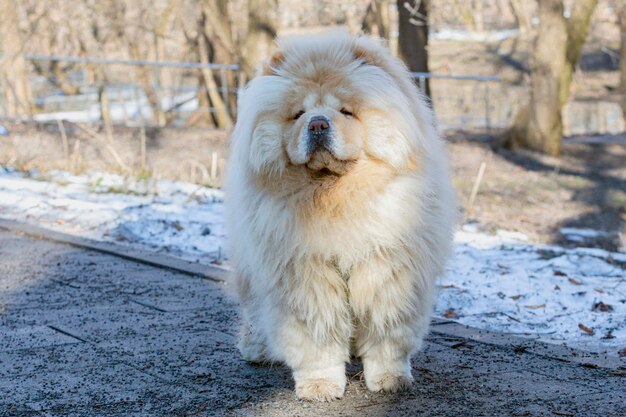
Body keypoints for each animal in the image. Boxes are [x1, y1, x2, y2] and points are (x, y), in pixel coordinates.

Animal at [224, 30, 454, 402]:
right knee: (255, 310)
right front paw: (320, 386)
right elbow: (316, 337)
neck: (335, 196)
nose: (318, 123)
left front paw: (389, 379)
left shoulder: (388, 269)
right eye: (298, 114)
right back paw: (256, 349)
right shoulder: (304, 274)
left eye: (346, 111)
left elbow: (387, 334)